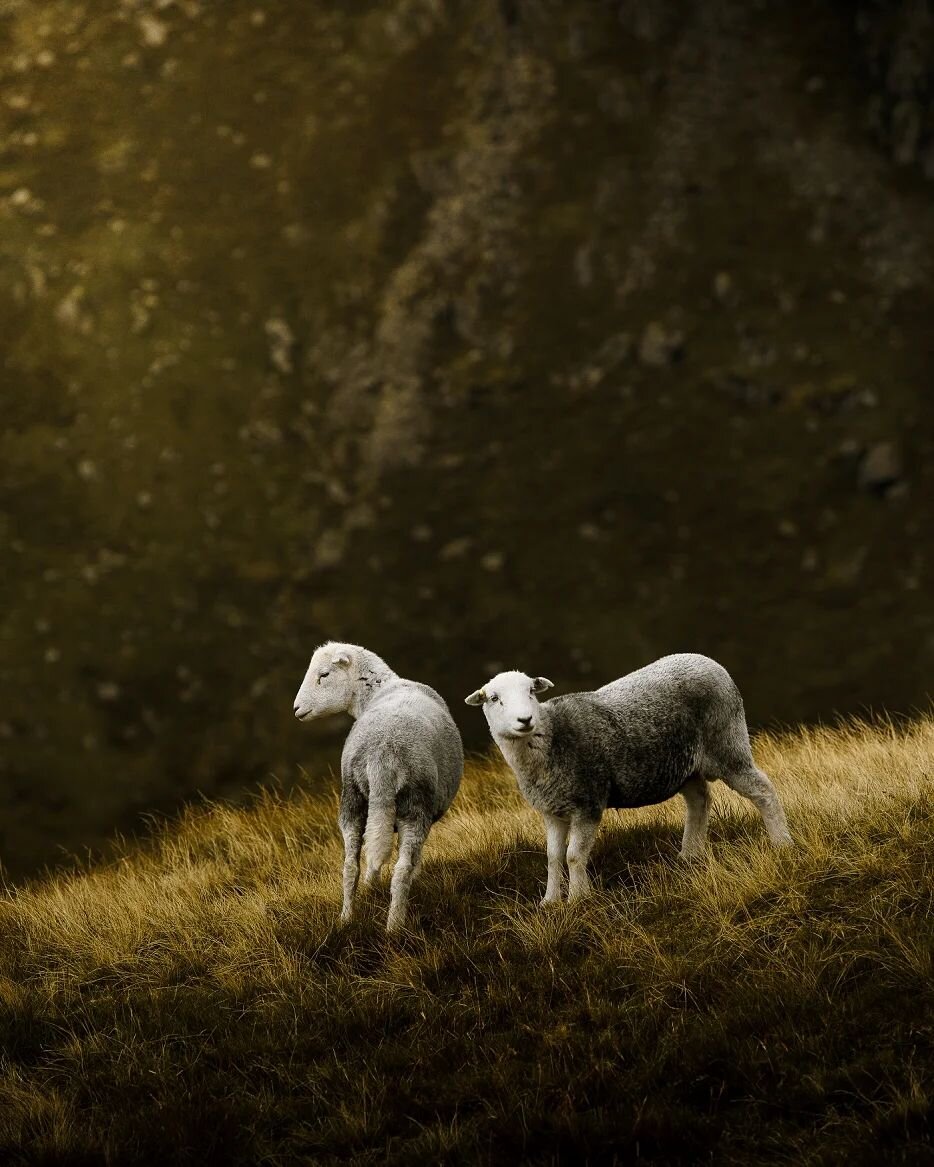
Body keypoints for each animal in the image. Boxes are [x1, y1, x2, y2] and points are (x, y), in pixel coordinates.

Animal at [294, 644, 462, 933]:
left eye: (324, 674)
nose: (297, 708)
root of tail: (383, 753)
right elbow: (412, 860)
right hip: (415, 806)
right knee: (401, 869)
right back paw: (395, 926)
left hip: (353, 800)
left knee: (350, 866)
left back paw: (347, 917)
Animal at [462, 653, 793, 905]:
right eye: (494, 698)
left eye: (531, 692)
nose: (525, 720)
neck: (551, 737)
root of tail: (710, 662)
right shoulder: (552, 811)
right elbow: (553, 857)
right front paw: (550, 902)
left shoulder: (588, 803)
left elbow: (574, 856)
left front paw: (578, 900)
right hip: (684, 765)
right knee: (700, 800)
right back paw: (689, 855)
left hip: (727, 742)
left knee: (763, 790)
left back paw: (782, 843)